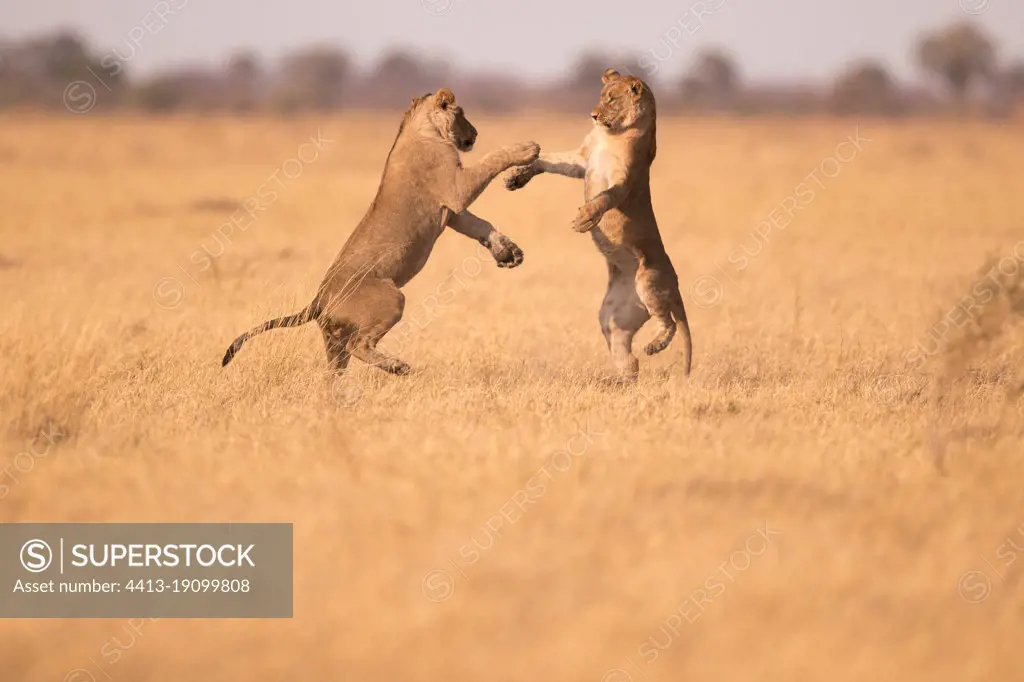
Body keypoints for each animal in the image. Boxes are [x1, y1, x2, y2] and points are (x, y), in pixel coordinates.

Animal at [221, 87, 540, 374]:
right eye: (461, 114)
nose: (475, 133)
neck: (424, 128)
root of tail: (318, 300)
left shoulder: (452, 211)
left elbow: (481, 226)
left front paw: (508, 252)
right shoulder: (456, 189)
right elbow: (492, 161)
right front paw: (526, 149)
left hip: (333, 340)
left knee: (336, 370)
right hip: (391, 298)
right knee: (359, 345)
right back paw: (397, 366)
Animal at [501, 68, 688, 382]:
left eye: (612, 99)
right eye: (601, 97)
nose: (593, 115)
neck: (611, 134)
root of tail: (674, 282)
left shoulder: (625, 180)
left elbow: (604, 197)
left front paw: (585, 218)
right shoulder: (581, 160)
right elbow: (547, 159)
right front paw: (517, 175)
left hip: (649, 282)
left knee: (670, 322)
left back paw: (655, 345)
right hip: (615, 312)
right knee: (625, 348)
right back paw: (623, 378)